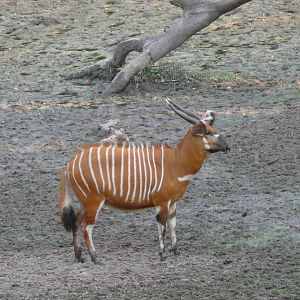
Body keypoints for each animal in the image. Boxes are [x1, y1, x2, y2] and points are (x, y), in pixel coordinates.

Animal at [58, 99, 230, 262]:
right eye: (208, 132)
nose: (227, 147)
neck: (176, 161)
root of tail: (69, 164)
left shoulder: (173, 203)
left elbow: (173, 225)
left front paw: (176, 252)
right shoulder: (161, 202)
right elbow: (162, 226)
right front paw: (162, 255)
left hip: (85, 202)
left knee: (75, 222)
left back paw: (79, 257)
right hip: (93, 202)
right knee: (86, 227)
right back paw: (95, 258)